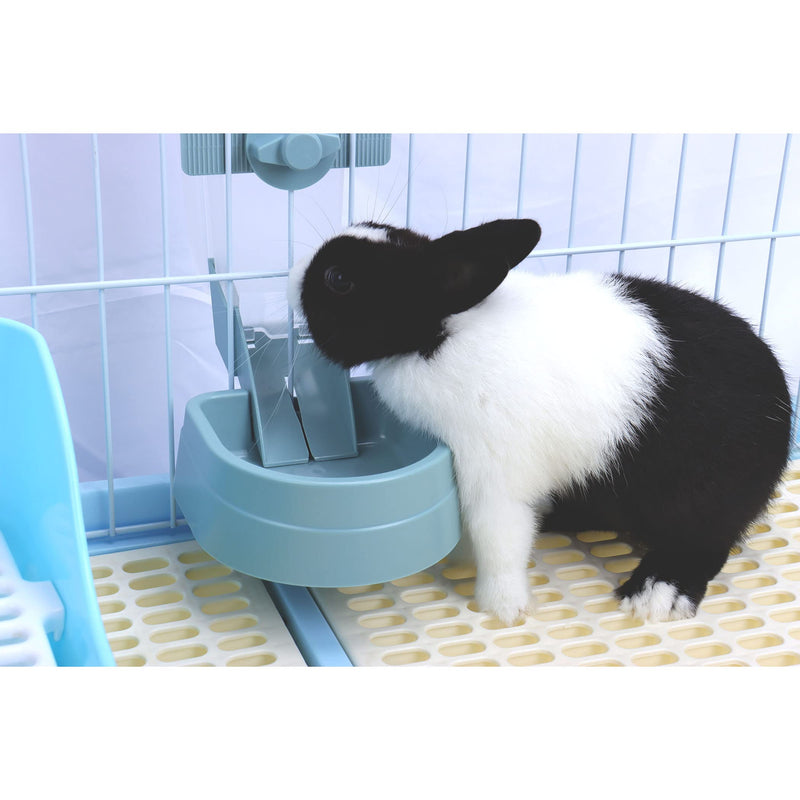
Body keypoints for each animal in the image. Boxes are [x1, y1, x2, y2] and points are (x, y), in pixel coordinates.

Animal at [287, 218, 792, 625]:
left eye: (338, 279)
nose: (292, 270)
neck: (440, 333)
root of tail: (782, 411)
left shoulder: (491, 474)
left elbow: (499, 540)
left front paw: (501, 608)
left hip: (704, 496)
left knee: (705, 542)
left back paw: (654, 596)